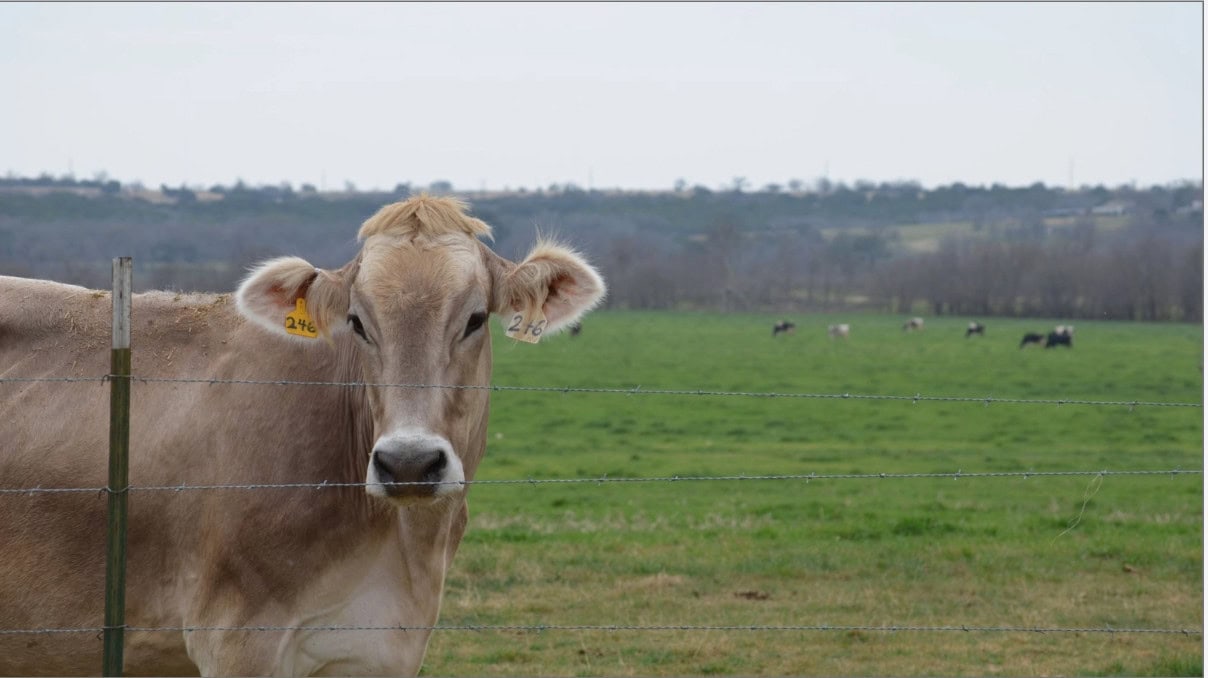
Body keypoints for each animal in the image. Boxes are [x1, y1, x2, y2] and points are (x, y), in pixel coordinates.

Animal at [0, 195, 605, 676]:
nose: (408, 463)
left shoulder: (383, 648)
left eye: (476, 318)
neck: (402, 547)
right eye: (358, 322)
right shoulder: (237, 640)